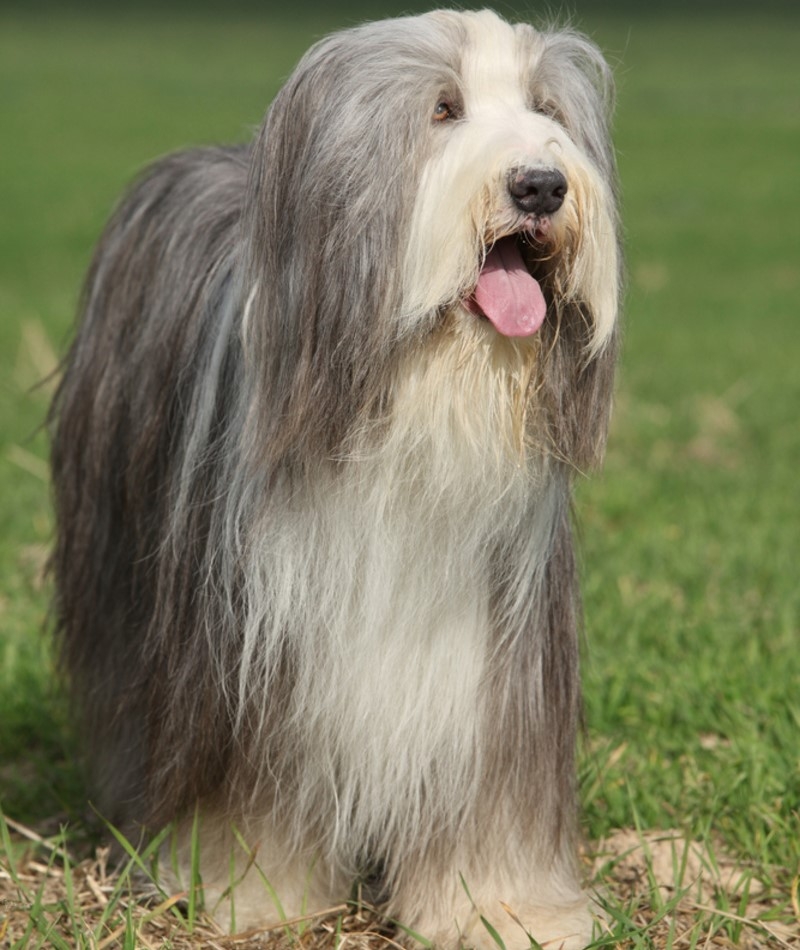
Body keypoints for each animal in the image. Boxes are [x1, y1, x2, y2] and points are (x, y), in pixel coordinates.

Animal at [50, 9, 620, 950]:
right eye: (443, 109)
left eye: (547, 109)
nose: (540, 185)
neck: (420, 400)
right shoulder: (254, 645)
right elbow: (253, 796)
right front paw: (250, 895)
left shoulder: (491, 660)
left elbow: (487, 796)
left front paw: (502, 909)